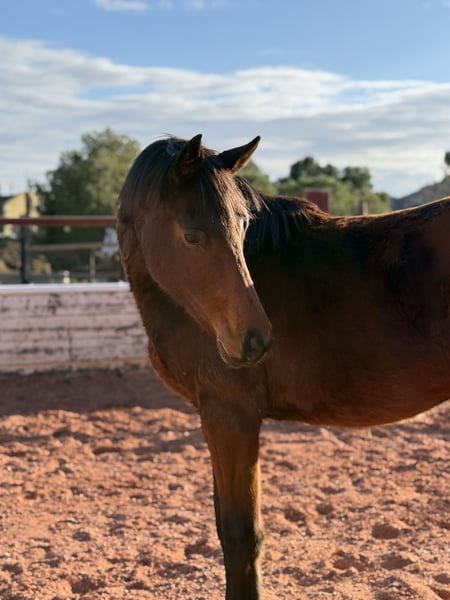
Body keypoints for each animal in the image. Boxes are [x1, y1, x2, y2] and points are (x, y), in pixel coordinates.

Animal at [117, 134, 450, 600]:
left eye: (242, 226)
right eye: (192, 234)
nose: (254, 339)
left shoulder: (232, 416)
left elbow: (241, 535)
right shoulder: (215, 417)